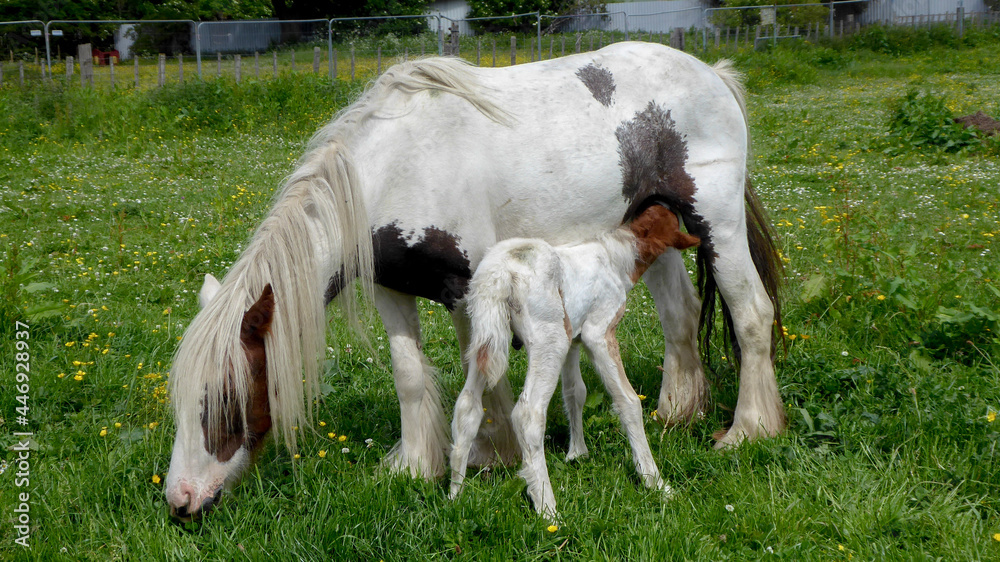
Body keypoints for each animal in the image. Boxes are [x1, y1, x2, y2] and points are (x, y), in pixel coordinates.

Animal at [449, 204, 700, 517]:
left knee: (467, 407)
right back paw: (547, 508)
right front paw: (656, 482)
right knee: (528, 414)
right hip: (550, 337)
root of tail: (499, 275)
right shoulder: (598, 330)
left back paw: (454, 495)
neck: (616, 256)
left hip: (485, 336)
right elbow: (628, 400)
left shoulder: (574, 339)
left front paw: (577, 454)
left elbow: (575, 392)